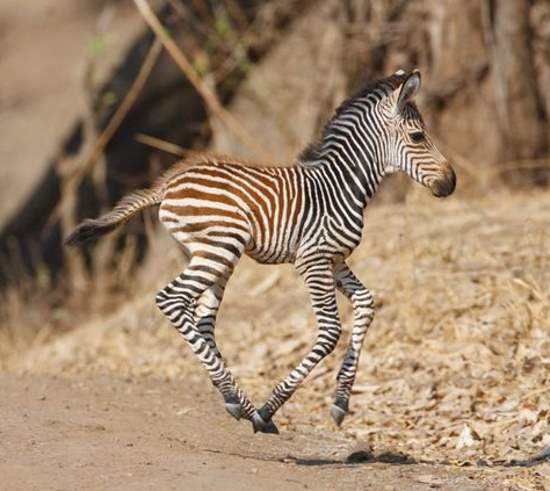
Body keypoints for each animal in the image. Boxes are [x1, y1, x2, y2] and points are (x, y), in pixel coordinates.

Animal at [67, 69, 458, 434]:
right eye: (418, 137)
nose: (451, 183)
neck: (341, 185)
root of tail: (169, 183)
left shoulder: (335, 259)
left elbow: (366, 303)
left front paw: (341, 402)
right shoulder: (313, 259)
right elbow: (331, 330)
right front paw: (271, 407)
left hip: (215, 254)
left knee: (202, 320)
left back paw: (234, 398)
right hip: (221, 248)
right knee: (171, 300)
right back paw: (243, 402)